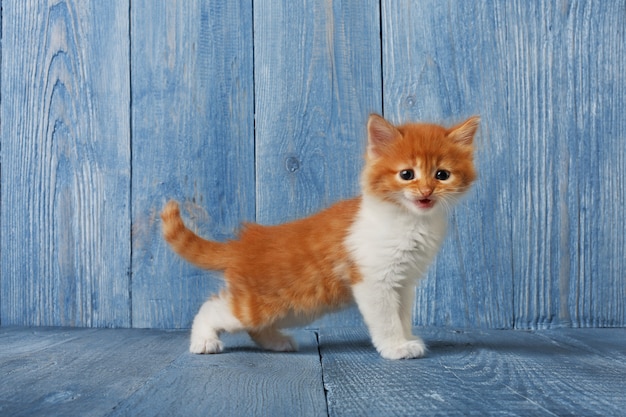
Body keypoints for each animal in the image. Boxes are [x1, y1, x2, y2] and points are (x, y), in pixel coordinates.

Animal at [161, 113, 478, 358]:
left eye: (442, 175)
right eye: (407, 174)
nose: (426, 192)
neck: (409, 221)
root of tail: (243, 244)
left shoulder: (404, 283)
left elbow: (402, 315)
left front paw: (407, 339)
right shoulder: (374, 281)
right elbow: (387, 319)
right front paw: (396, 348)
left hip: (292, 307)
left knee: (253, 326)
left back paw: (277, 342)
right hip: (259, 304)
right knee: (213, 309)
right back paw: (204, 340)